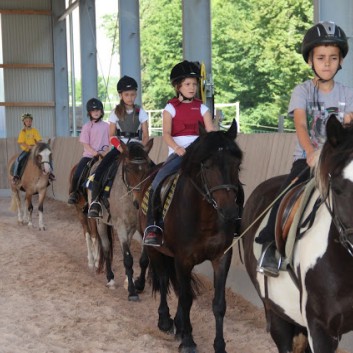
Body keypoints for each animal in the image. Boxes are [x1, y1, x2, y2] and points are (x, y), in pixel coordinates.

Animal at [88, 139, 154, 298]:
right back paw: (111, 279)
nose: (138, 201)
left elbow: (143, 259)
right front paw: (132, 291)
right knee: (106, 248)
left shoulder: (140, 228)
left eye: (147, 169)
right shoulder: (121, 227)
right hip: (100, 223)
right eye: (128, 169)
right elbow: (128, 259)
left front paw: (137, 284)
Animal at [139, 120, 243, 352]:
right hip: (154, 249)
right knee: (163, 279)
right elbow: (185, 298)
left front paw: (219, 345)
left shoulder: (221, 257)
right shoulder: (182, 259)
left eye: (236, 165)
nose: (230, 211)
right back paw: (166, 321)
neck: (205, 217)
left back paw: (178, 324)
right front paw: (187, 341)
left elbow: (218, 304)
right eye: (207, 165)